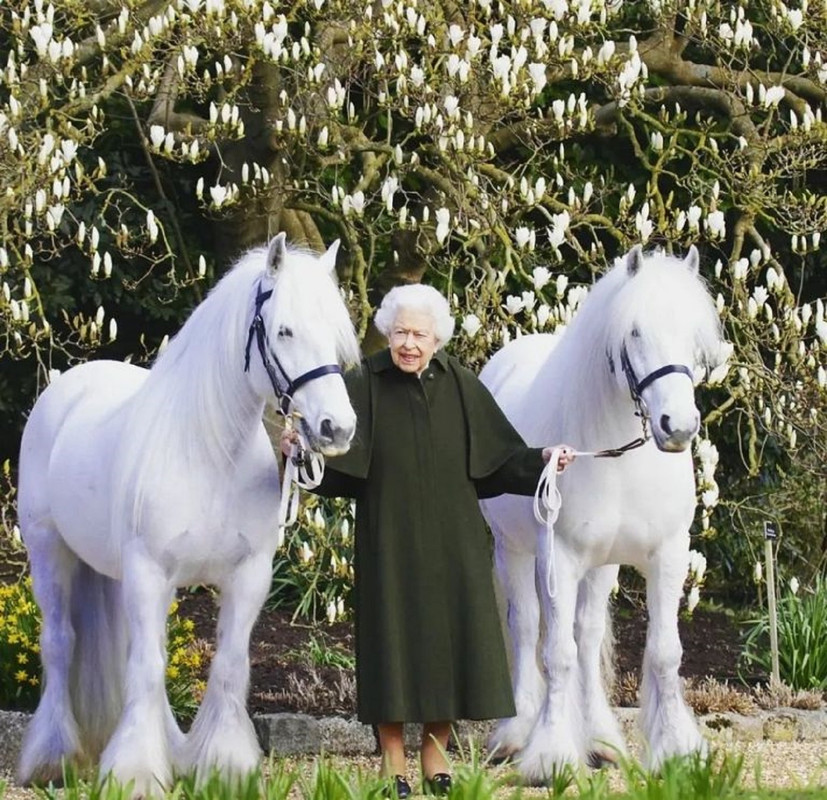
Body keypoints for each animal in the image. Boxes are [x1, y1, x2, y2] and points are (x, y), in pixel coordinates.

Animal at [16, 234, 360, 796]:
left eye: (335, 335)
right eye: (284, 330)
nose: (337, 428)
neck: (209, 453)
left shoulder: (248, 576)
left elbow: (227, 665)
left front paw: (224, 766)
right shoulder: (149, 572)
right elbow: (147, 668)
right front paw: (135, 772)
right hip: (50, 552)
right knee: (61, 644)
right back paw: (53, 758)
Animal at [482, 245, 720, 780]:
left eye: (693, 334)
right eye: (634, 332)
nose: (678, 426)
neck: (619, 457)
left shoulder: (668, 555)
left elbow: (663, 653)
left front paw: (677, 749)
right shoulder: (560, 558)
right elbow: (557, 653)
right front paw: (549, 754)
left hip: (602, 565)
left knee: (587, 636)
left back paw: (600, 739)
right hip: (514, 551)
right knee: (526, 627)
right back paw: (516, 733)